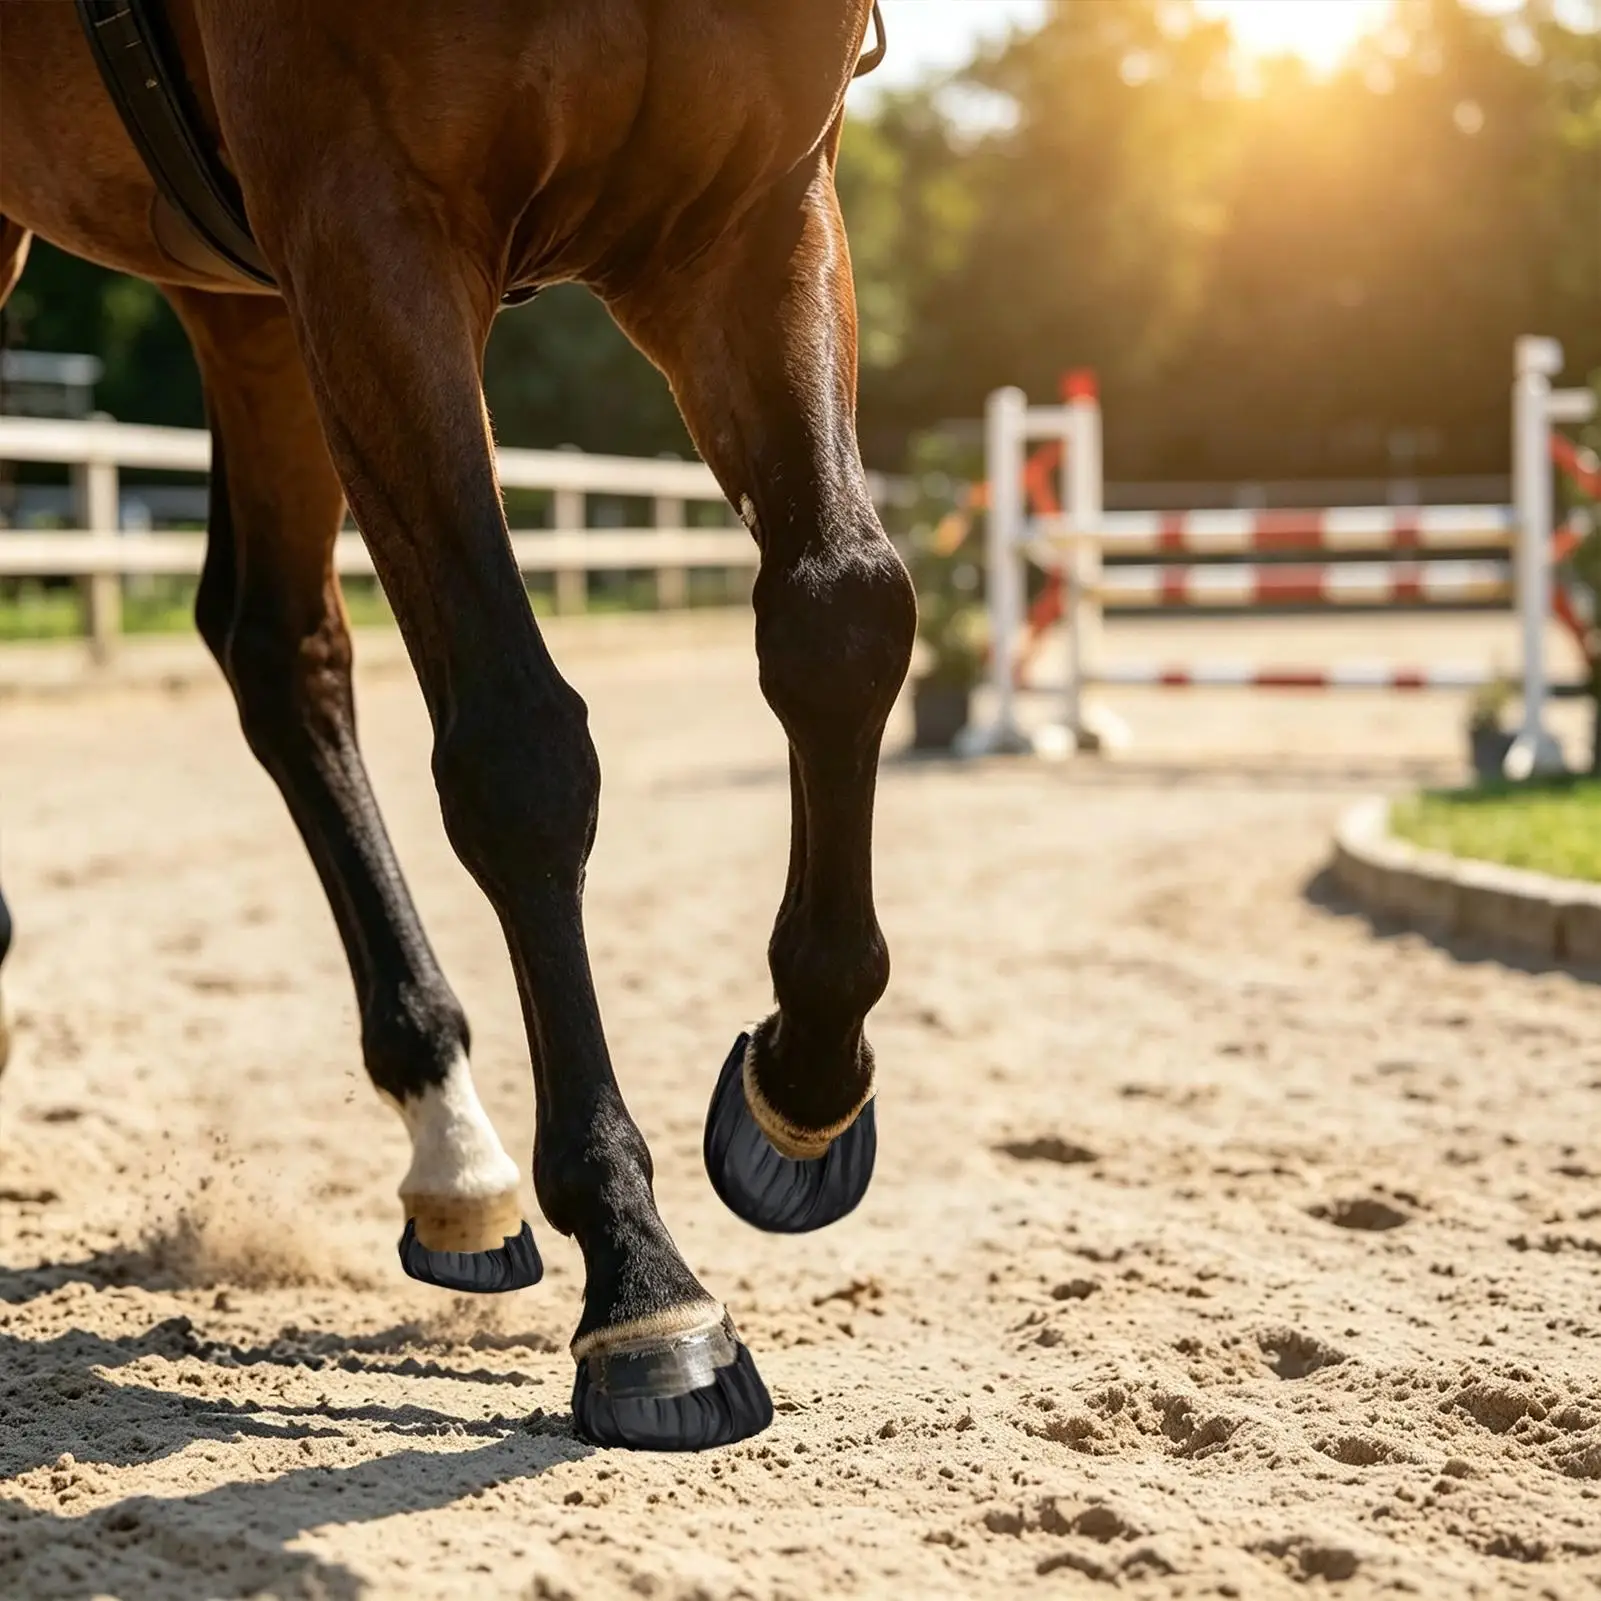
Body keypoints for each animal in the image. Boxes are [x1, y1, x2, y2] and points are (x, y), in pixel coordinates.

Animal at [0, 0, 915, 1452]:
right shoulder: (373, 234)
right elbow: (518, 748)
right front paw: (645, 1288)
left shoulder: (751, 212)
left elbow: (842, 616)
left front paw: (796, 1105)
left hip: (242, 300)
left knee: (280, 649)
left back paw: (453, 1144)